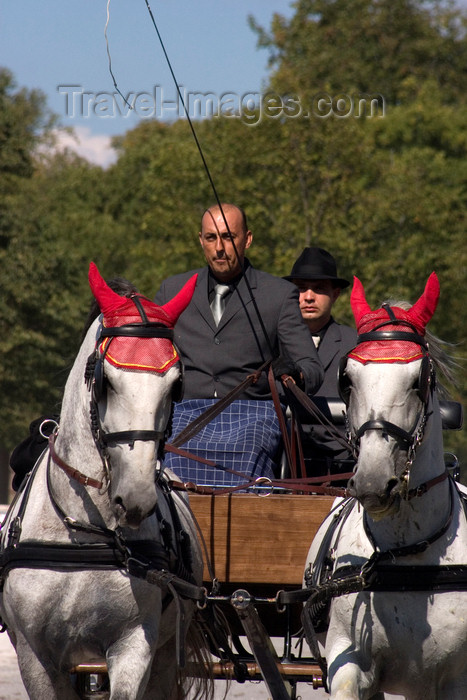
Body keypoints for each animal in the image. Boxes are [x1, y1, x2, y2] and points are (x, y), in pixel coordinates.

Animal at [0, 264, 210, 700]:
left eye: (175, 385)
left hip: (165, 655)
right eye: (106, 382)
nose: (136, 498)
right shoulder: (35, 656)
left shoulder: (135, 645)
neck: (85, 530)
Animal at [304, 274, 467, 700]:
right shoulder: (348, 663)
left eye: (418, 380)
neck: (409, 552)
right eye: (347, 379)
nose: (373, 481)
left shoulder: (454, 678)